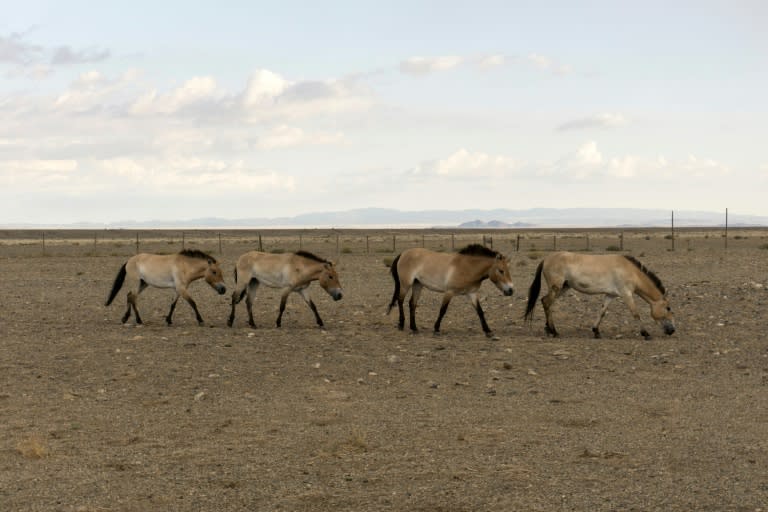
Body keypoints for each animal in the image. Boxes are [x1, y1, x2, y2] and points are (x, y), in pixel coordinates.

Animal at [384, 245, 516, 338]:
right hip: (405, 285)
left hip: (418, 285)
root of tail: (403, 253)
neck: (467, 267)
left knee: (412, 304)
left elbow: (480, 312)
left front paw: (488, 331)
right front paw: (436, 329)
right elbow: (443, 310)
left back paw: (414, 328)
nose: (511, 290)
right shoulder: (449, 292)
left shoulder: (472, 294)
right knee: (400, 301)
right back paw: (401, 325)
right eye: (501, 271)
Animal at [524, 252, 676, 340]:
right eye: (668, 308)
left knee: (546, 302)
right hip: (557, 288)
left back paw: (548, 330)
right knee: (547, 303)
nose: (672, 330)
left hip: (563, 288)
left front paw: (596, 331)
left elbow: (602, 312)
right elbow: (636, 314)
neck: (630, 271)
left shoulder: (610, 295)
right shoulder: (626, 294)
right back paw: (554, 331)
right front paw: (646, 334)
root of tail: (546, 259)